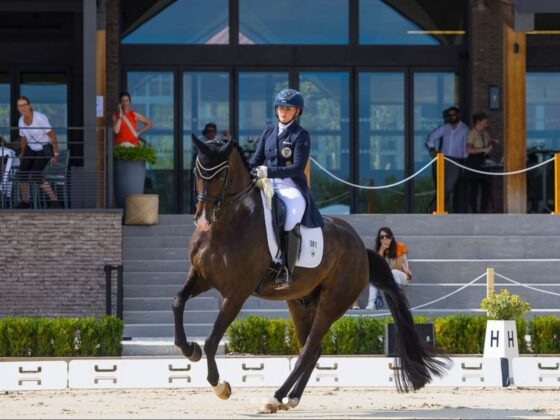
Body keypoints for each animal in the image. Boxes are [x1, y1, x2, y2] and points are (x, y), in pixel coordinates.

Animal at [173, 136, 448, 412]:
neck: (226, 225)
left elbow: (211, 340)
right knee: (313, 349)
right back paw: (291, 398)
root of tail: (361, 248)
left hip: (331, 303)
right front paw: (189, 350)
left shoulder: (236, 293)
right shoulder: (201, 276)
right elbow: (177, 302)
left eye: (221, 175)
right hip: (299, 302)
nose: (202, 219)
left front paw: (220, 386)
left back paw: (275, 398)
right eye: (197, 173)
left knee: (307, 351)